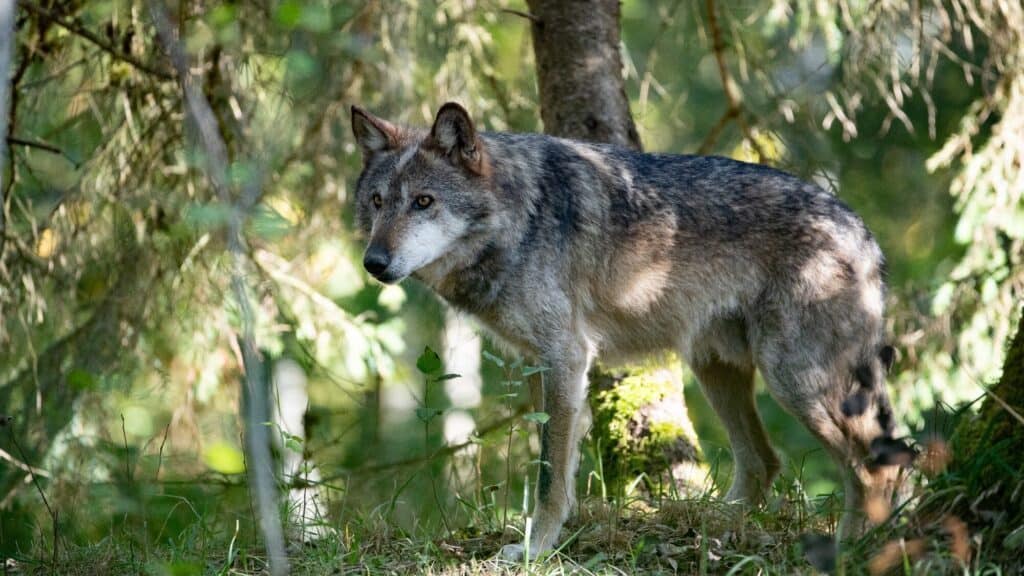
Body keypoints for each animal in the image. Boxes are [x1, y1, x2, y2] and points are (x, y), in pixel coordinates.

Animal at [350, 102, 902, 559]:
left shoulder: (566, 357)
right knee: (765, 462)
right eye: (377, 201)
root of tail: (862, 230)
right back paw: (711, 524)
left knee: (878, 465)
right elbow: (556, 462)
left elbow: (549, 474)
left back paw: (854, 549)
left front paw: (535, 548)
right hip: (717, 370)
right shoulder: (539, 365)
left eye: (424, 202)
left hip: (795, 382)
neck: (519, 218)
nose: (373, 263)